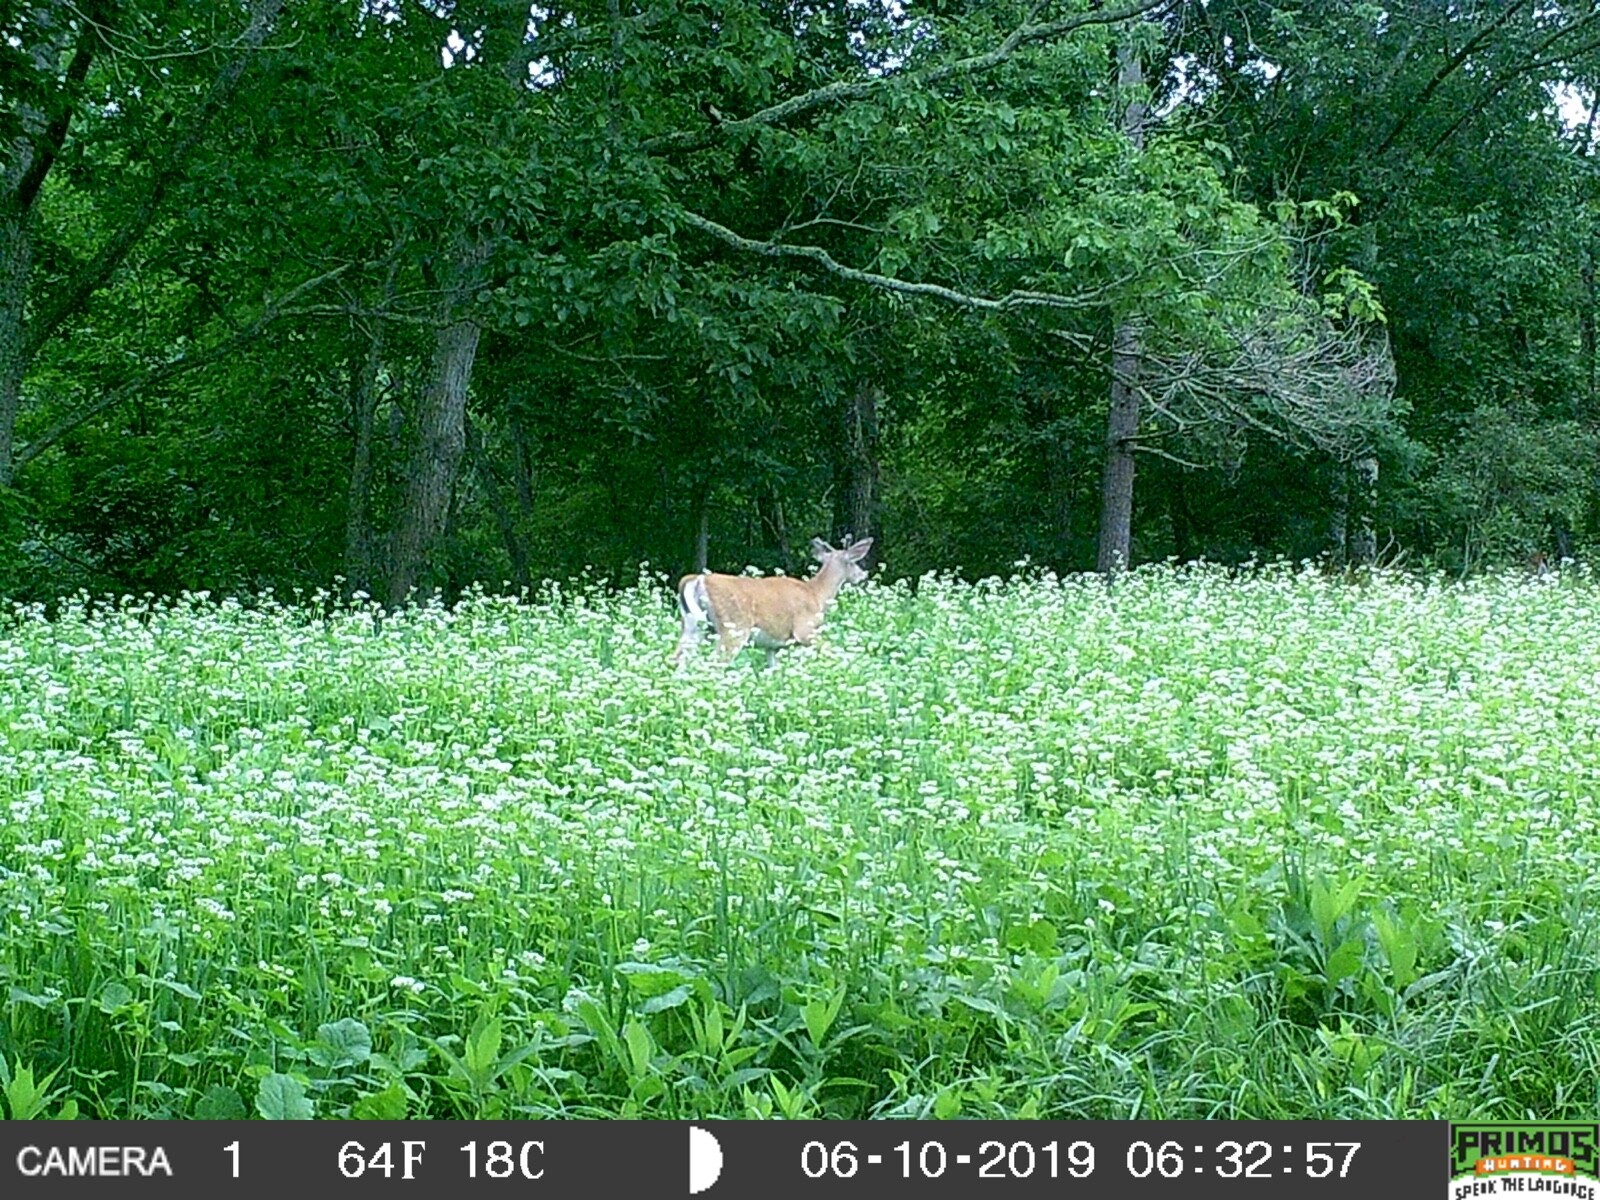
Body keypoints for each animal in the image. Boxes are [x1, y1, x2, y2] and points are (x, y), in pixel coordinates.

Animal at [673, 536, 873, 668]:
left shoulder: (772, 646)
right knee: (714, 663)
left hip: (692, 626)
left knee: (677, 657)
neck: (817, 594)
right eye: (854, 562)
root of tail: (697, 580)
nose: (863, 575)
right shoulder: (805, 629)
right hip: (733, 627)